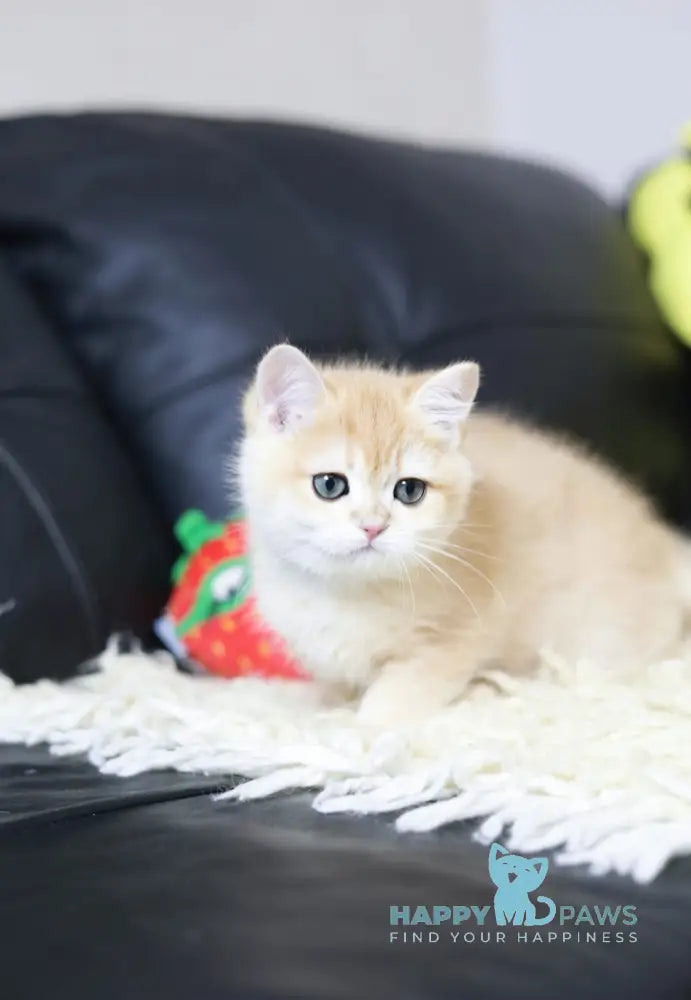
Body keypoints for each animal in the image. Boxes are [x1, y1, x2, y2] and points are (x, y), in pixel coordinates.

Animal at [239, 344, 691, 728]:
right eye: (330, 485)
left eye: (409, 490)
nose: (373, 525)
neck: (345, 592)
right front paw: (329, 705)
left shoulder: (457, 637)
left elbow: (401, 693)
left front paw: (364, 726)